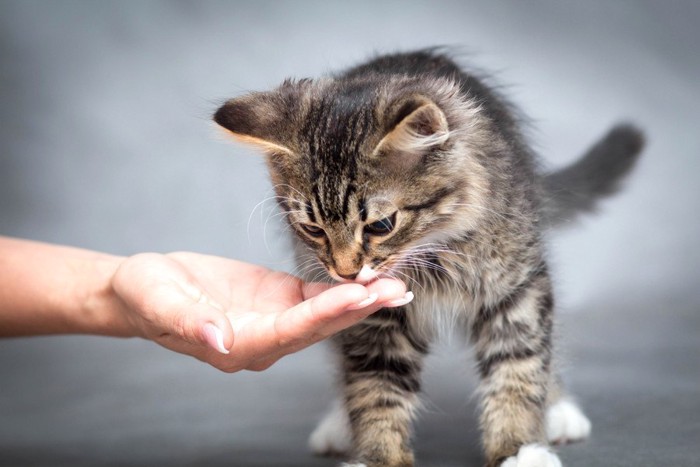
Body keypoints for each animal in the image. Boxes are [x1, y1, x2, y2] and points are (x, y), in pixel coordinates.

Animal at [215, 50, 644, 467]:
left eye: (381, 225)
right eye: (313, 229)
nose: (347, 272)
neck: (431, 255)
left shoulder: (516, 289)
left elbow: (518, 368)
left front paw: (519, 448)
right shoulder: (374, 318)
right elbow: (374, 389)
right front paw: (379, 456)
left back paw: (558, 411)